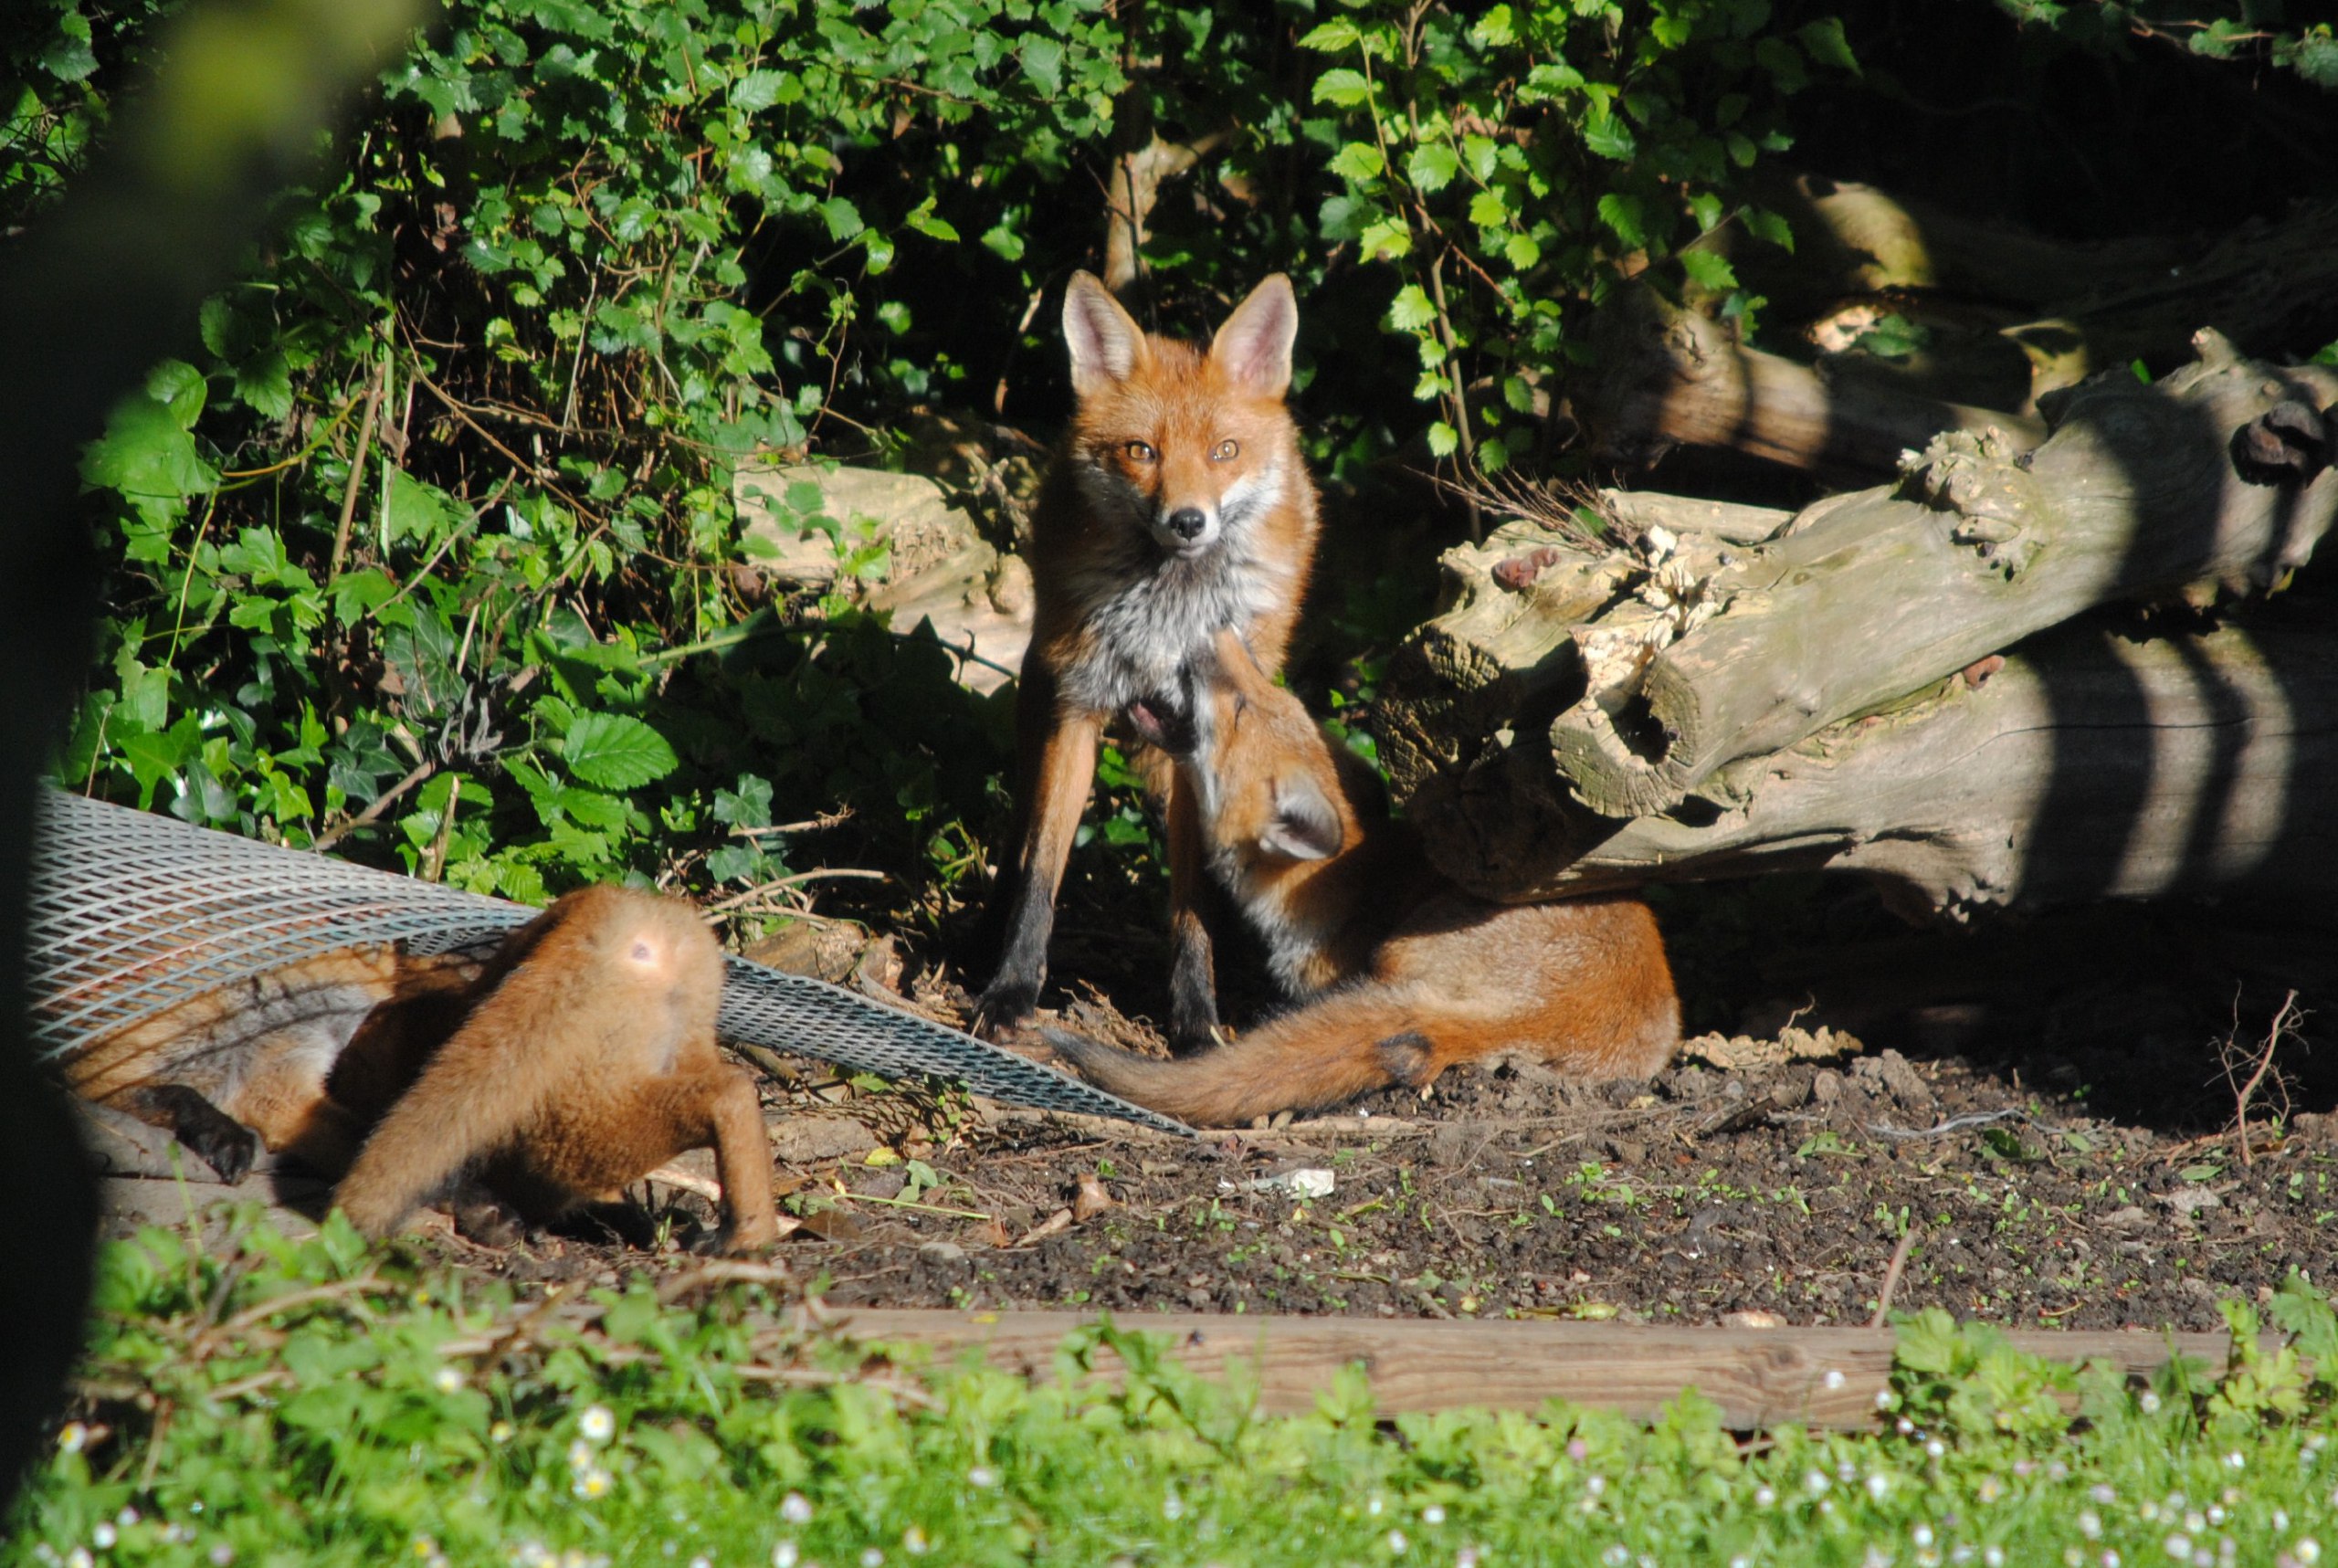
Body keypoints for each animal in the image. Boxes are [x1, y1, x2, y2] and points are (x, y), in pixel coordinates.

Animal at [977, 270, 1322, 1056]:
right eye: (1141, 451)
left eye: (1224, 450)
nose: (1188, 520)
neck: (1171, 617)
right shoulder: (1078, 709)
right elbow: (1042, 872)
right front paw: (1011, 988)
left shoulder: (1199, 736)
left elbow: (1190, 902)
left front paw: (1196, 1020)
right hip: (1040, 691)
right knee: (1019, 835)